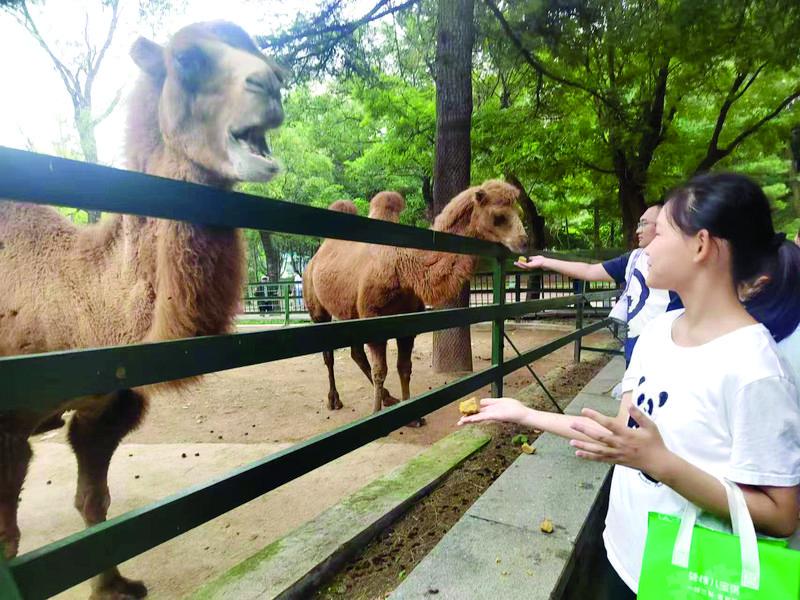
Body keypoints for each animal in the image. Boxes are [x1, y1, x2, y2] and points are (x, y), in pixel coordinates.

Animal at [0, 21, 286, 596]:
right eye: (187, 60)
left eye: (265, 55)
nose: (270, 83)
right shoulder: (3, 431)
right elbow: (8, 543)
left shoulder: (105, 406)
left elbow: (94, 503)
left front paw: (114, 586)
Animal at [304, 183, 528, 422]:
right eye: (499, 216)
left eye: (519, 212)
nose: (524, 241)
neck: (404, 267)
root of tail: (315, 258)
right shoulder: (373, 319)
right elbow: (380, 371)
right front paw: (375, 413)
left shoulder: (408, 325)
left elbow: (404, 367)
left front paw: (412, 415)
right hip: (318, 307)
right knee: (329, 355)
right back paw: (334, 400)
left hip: (352, 313)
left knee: (356, 352)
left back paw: (388, 398)